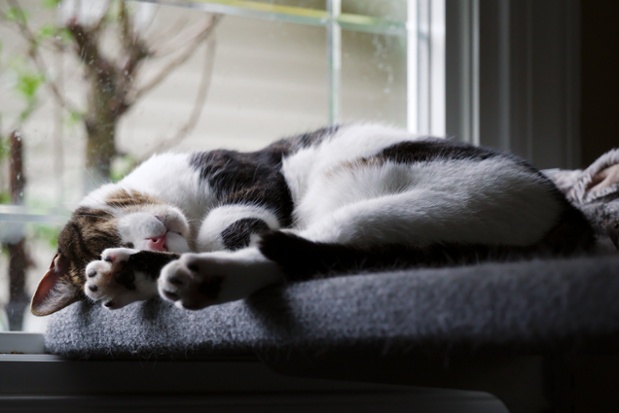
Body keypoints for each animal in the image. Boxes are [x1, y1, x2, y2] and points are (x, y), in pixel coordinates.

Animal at [30, 122, 596, 316]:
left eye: (103, 228)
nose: (154, 243)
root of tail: (566, 210)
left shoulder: (250, 173)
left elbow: (230, 223)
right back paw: (128, 277)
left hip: (421, 202)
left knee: (305, 251)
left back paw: (201, 273)